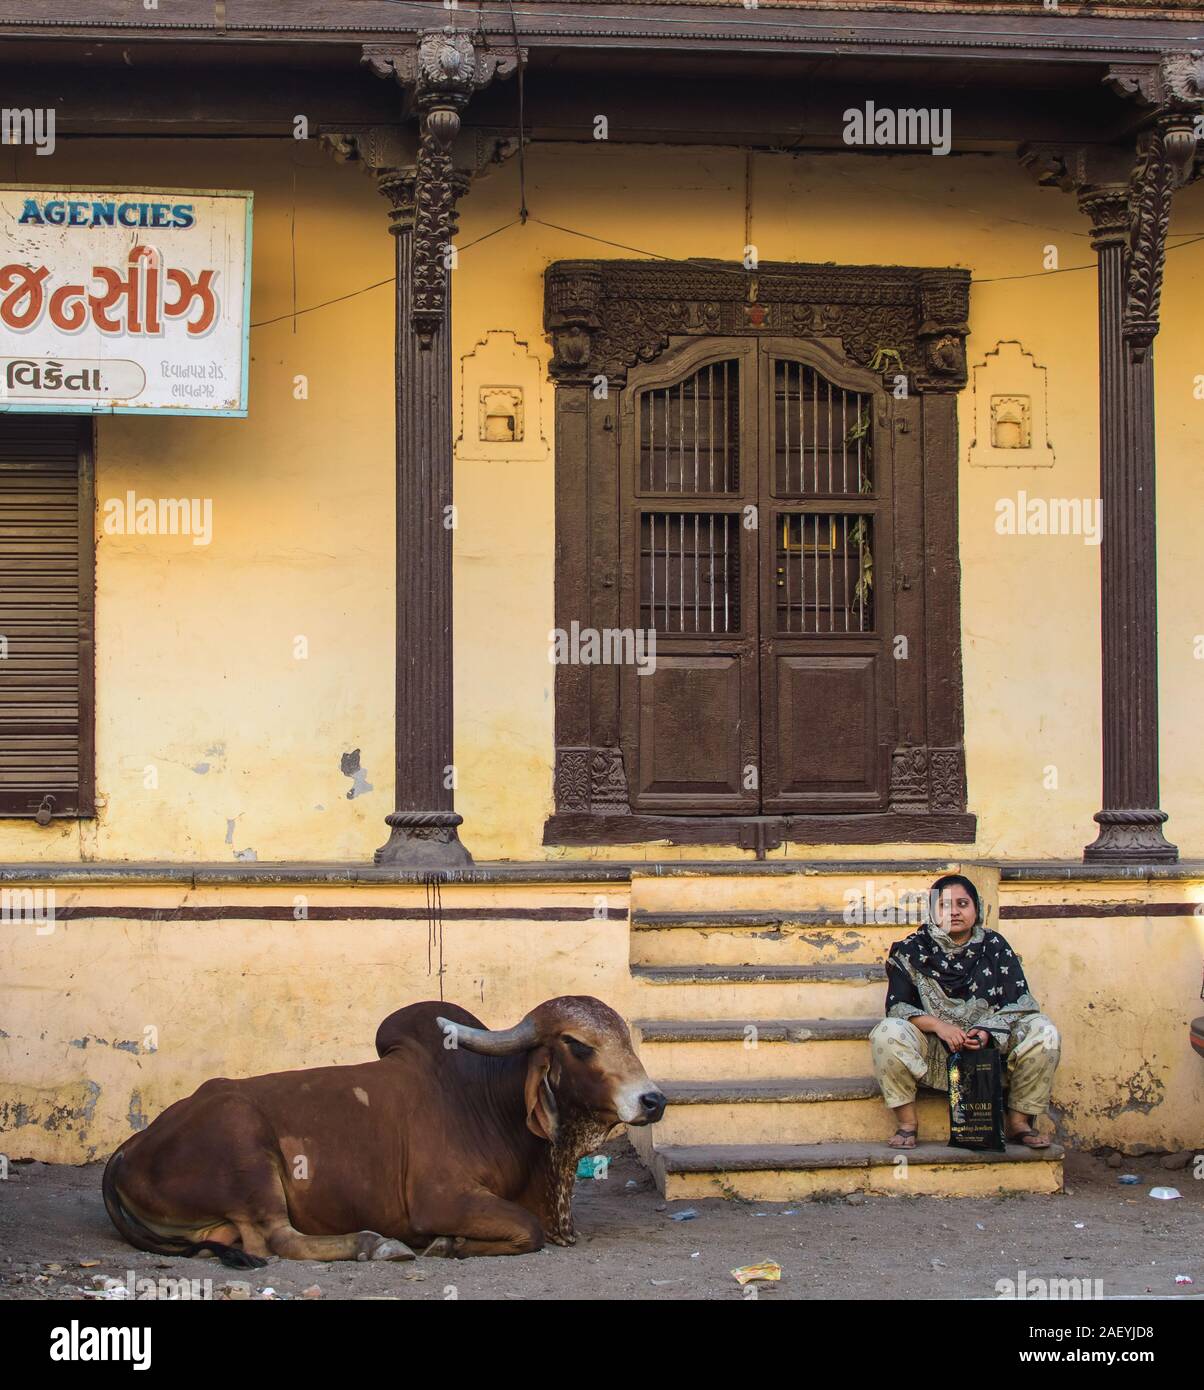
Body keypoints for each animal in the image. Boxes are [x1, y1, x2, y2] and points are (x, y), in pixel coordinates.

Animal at [102, 995, 667, 1267]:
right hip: (244, 1145)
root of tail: (128, 1149)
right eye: (579, 1045)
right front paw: (446, 1245)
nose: (653, 1101)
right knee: (275, 1239)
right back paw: (375, 1245)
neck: (486, 1101)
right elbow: (527, 1231)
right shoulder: (439, 1199)